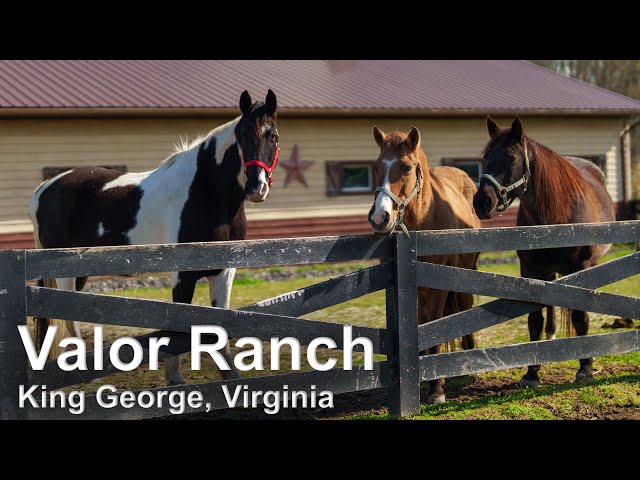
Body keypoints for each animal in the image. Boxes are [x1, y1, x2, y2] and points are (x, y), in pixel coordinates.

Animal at [30, 89, 278, 382]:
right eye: (242, 137)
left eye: (272, 135)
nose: (256, 188)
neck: (205, 192)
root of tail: (43, 188)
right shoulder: (183, 273)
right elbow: (179, 326)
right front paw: (175, 379)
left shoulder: (224, 271)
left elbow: (221, 324)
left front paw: (231, 376)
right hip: (64, 273)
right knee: (70, 319)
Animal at [364, 125, 480, 404]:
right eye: (375, 166)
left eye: (406, 167)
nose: (379, 218)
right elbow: (419, 326)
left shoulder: (438, 288)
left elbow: (434, 327)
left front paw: (436, 388)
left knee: (465, 309)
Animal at [476, 117, 616, 390]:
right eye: (485, 158)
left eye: (511, 158)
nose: (481, 202)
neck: (557, 217)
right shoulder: (531, 270)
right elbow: (534, 320)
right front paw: (532, 372)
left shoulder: (581, 268)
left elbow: (580, 316)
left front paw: (585, 369)